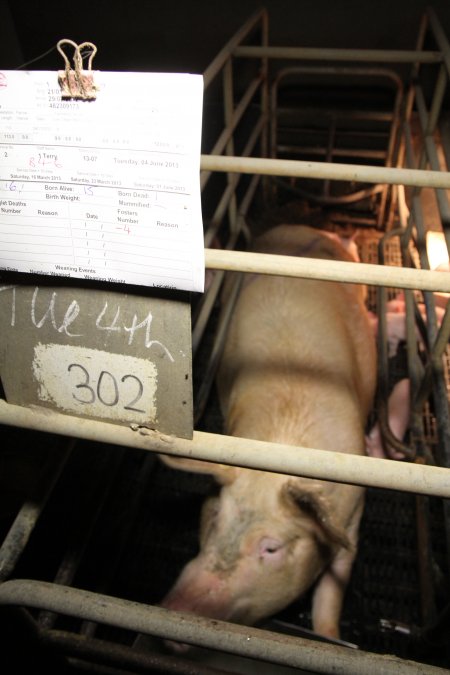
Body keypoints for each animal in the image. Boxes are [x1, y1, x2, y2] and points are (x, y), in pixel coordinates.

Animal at [160, 226, 378, 644]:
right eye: (215, 516)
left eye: (272, 548)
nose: (175, 613)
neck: (280, 448)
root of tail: (303, 231)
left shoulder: (354, 515)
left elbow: (331, 592)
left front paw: (328, 636)